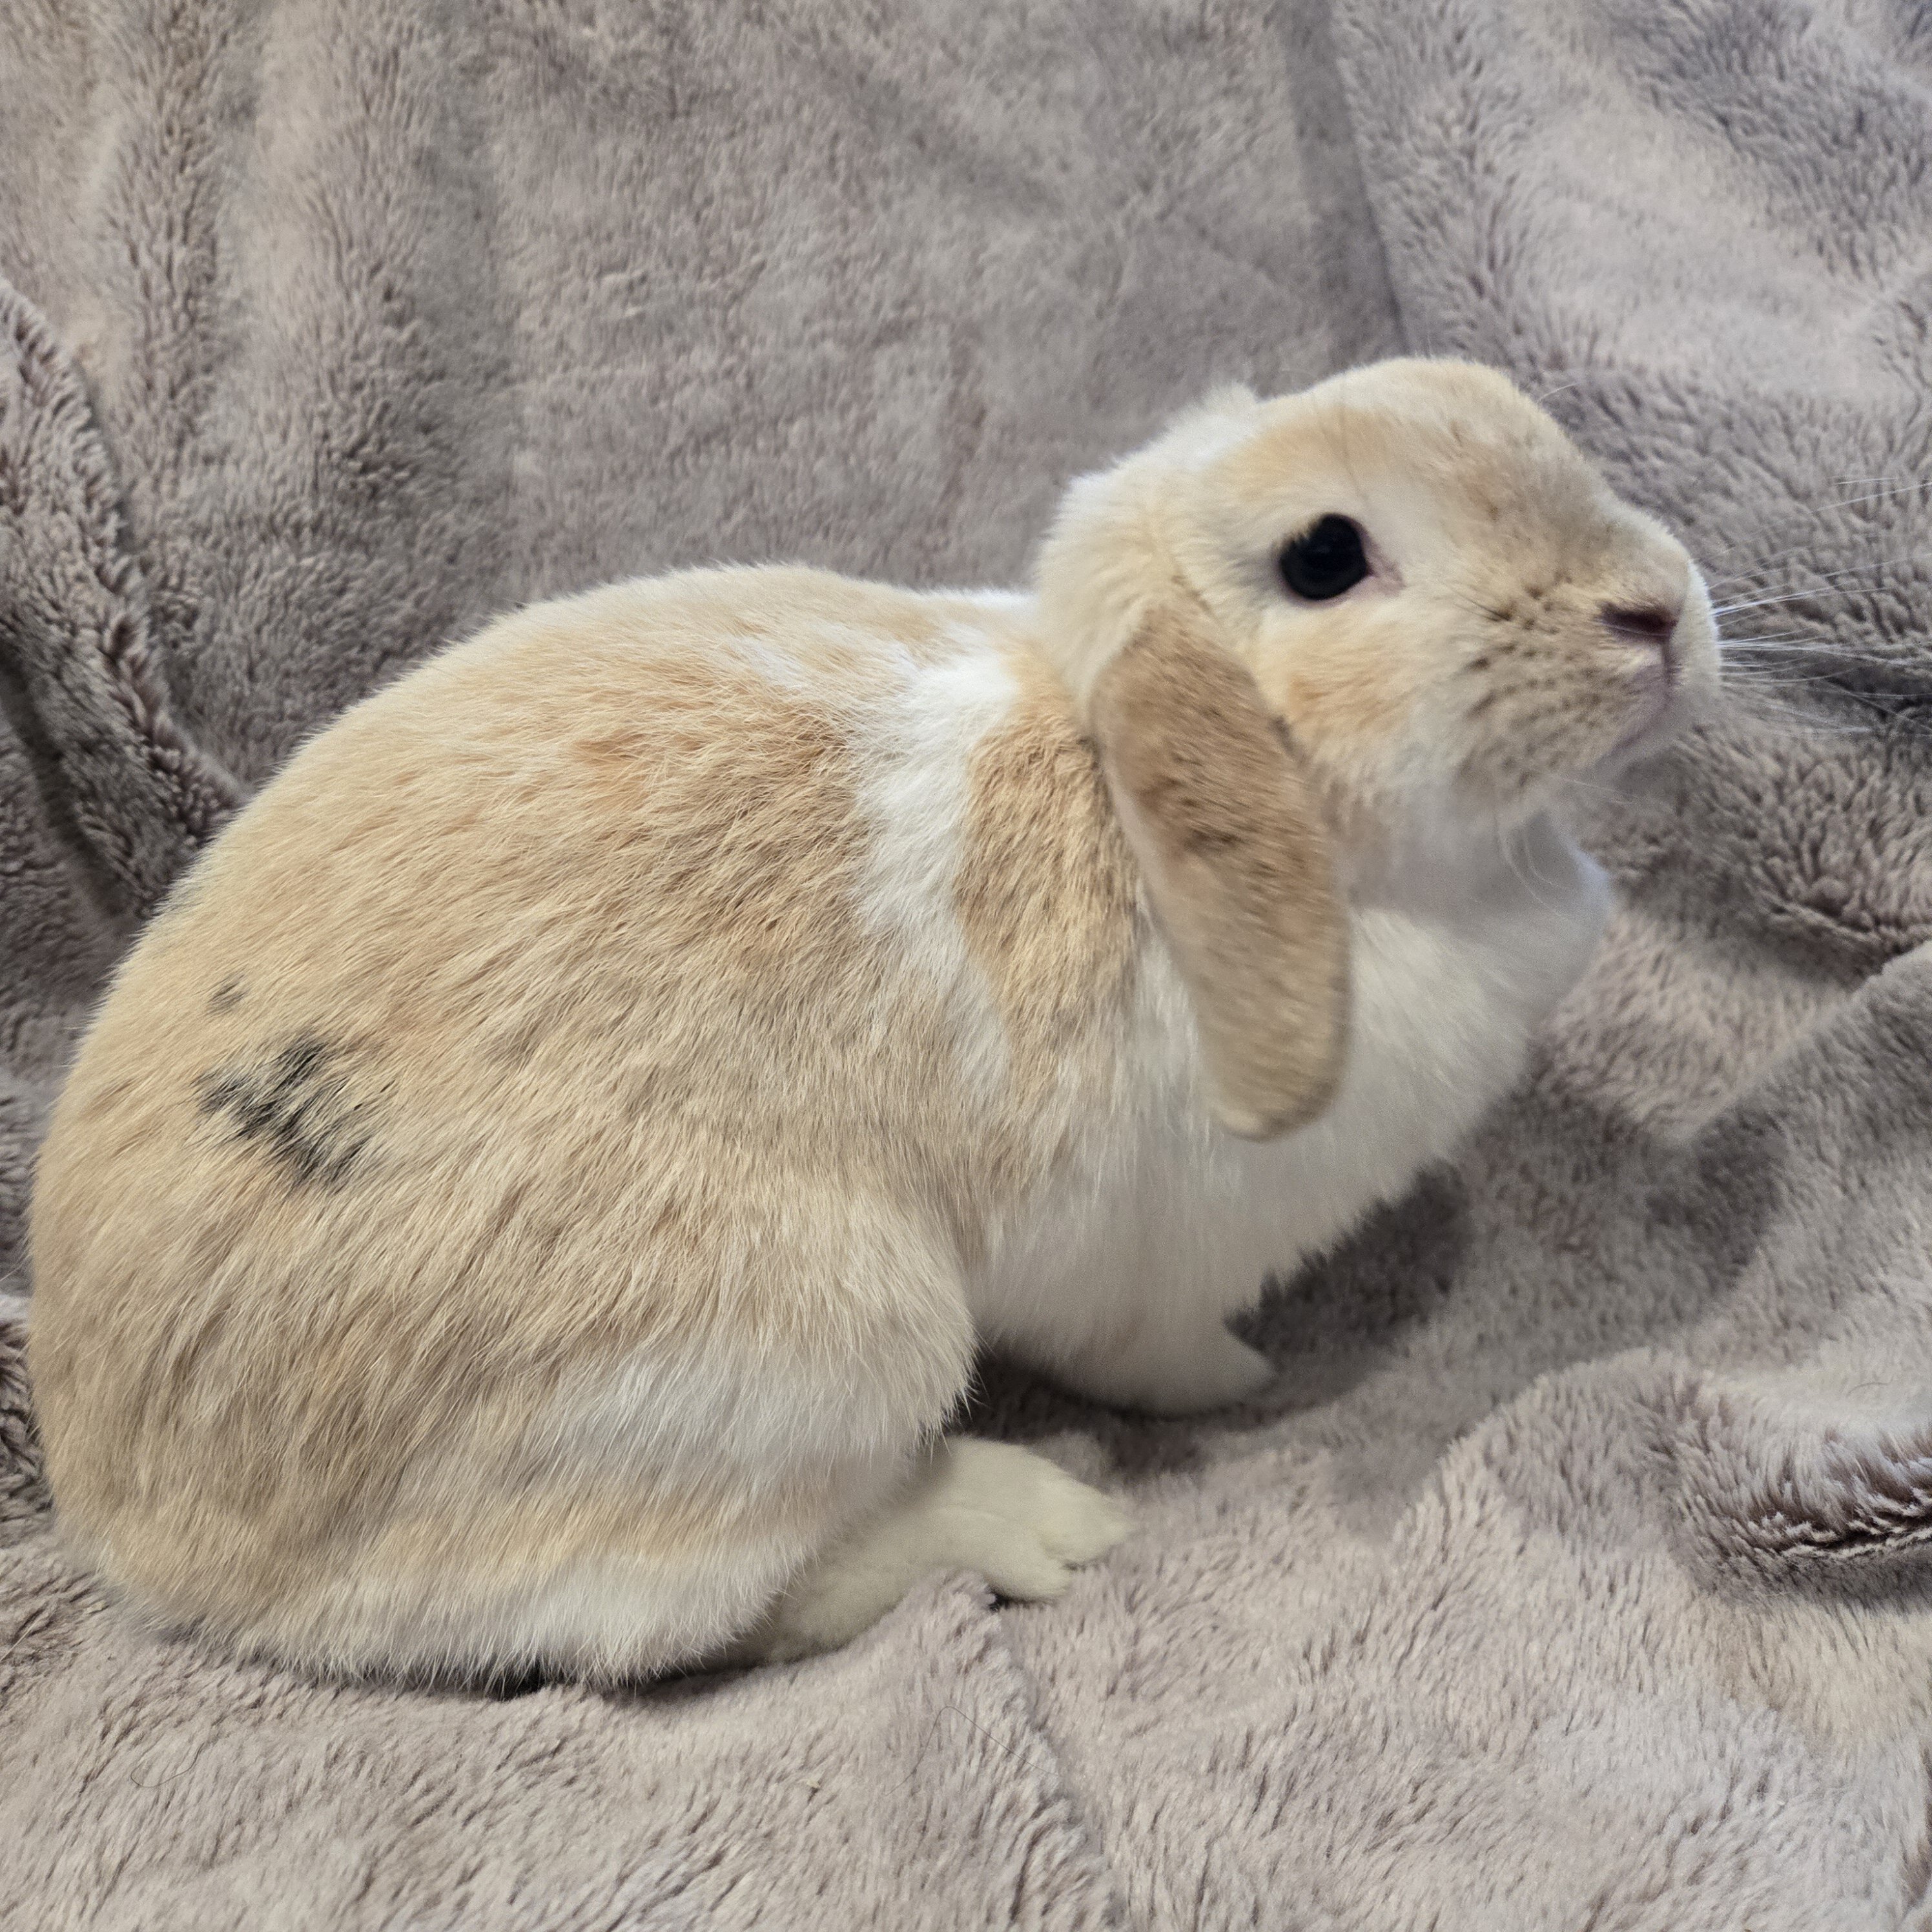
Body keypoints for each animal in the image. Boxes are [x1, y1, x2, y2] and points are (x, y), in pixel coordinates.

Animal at [27, 358, 1718, 1685]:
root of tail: (140, 1528)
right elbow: (1152, 1348)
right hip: (799, 1353)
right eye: (1322, 557)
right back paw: (1031, 1521)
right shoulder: (1136, 1268)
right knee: (688, 1619)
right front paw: (1241, 1385)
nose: (1657, 612)